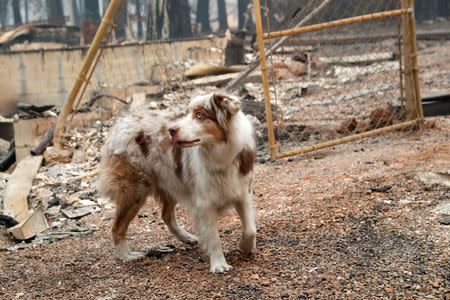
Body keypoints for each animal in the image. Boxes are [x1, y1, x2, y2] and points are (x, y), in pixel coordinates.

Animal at [99, 92, 256, 274]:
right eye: (186, 113)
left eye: (199, 115)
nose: (171, 130)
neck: (220, 156)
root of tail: (122, 122)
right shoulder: (205, 204)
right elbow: (214, 237)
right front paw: (219, 264)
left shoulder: (241, 192)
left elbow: (250, 229)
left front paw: (245, 247)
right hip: (135, 190)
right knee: (117, 227)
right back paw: (126, 255)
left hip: (170, 180)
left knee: (166, 216)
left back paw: (187, 238)